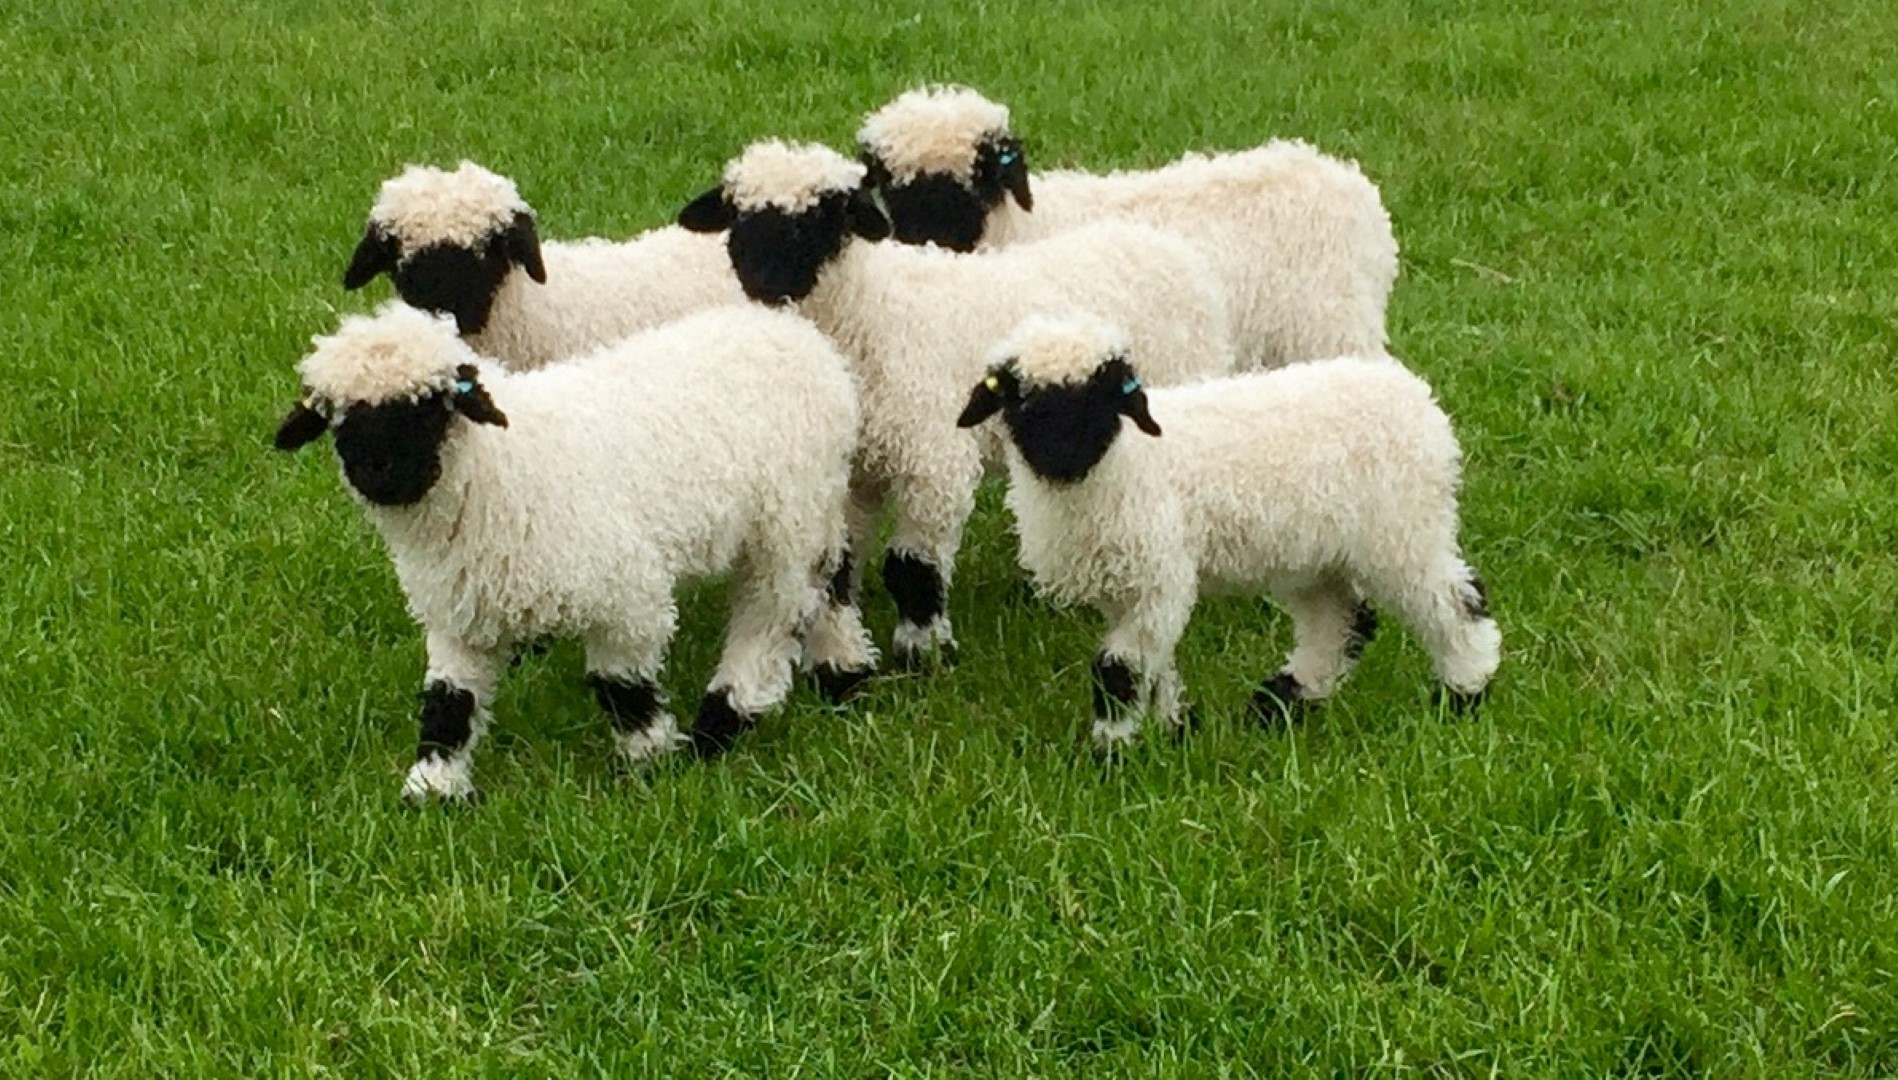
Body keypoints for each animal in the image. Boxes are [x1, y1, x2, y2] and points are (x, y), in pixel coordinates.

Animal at [273, 299, 869, 797]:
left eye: (432, 406)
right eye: (337, 416)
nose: (380, 473)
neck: (499, 470)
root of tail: (797, 333)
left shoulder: (627, 596)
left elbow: (621, 687)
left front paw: (650, 759)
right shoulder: (460, 615)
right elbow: (450, 702)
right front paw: (433, 786)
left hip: (790, 518)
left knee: (772, 615)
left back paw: (725, 718)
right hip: (811, 510)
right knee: (833, 575)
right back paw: (843, 666)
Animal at [675, 140, 1237, 668]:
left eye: (822, 216)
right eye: (737, 213)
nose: (760, 281)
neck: (870, 318)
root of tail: (1165, 246)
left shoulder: (934, 463)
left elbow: (912, 569)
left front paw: (922, 655)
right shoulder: (850, 472)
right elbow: (840, 566)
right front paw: (842, 647)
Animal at [857, 85, 1396, 370]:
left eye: (979, 177)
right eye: (892, 184)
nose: (925, 241)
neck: (1019, 225)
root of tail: (1350, 186)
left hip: (1331, 328)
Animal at [956, 311, 1503, 747]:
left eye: (1103, 398)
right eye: (1020, 401)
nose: (1061, 458)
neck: (1125, 464)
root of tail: (1417, 397)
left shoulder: (1160, 575)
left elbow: (1119, 670)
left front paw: (1110, 752)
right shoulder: (1126, 588)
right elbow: (1153, 667)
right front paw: (1172, 730)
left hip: (1404, 531)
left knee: (1455, 602)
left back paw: (1464, 692)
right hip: (1318, 551)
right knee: (1341, 620)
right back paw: (1282, 702)